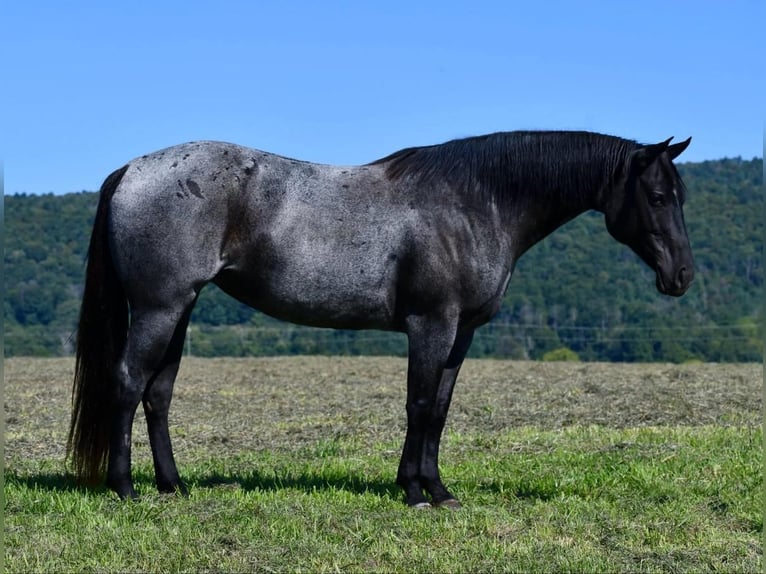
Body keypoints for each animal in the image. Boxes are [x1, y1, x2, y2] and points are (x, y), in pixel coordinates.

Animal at [67, 130, 696, 508]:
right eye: (657, 197)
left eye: (680, 195)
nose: (683, 276)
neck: (474, 202)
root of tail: (130, 170)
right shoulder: (431, 324)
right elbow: (418, 404)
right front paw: (415, 493)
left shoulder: (461, 334)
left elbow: (439, 409)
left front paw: (436, 489)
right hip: (160, 307)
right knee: (128, 383)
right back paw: (125, 488)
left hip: (182, 307)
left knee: (159, 393)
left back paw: (173, 486)